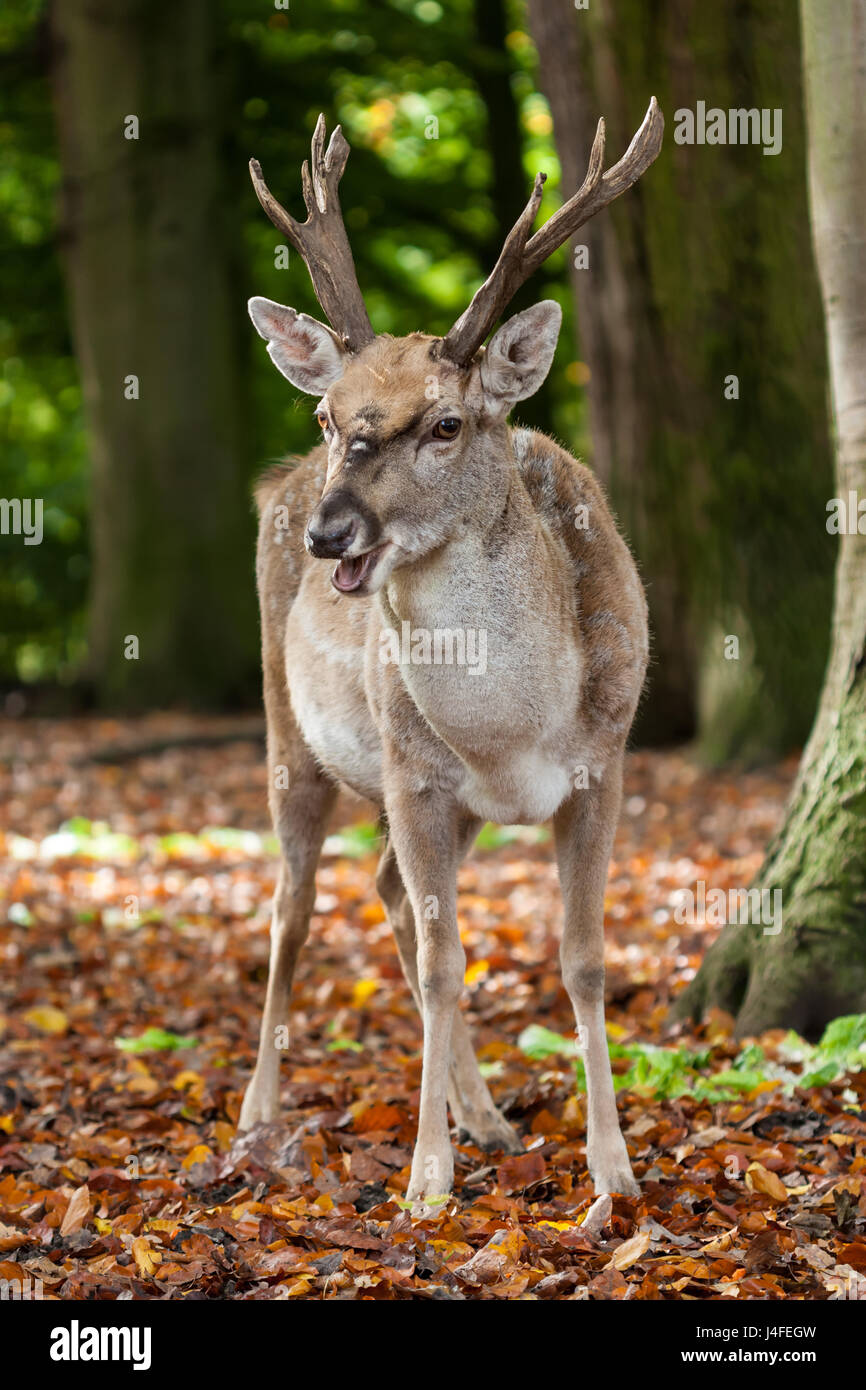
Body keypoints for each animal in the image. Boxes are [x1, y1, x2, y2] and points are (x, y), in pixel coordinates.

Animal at [240, 97, 667, 1212]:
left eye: (444, 422)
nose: (332, 534)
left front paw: (614, 1169)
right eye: (329, 413)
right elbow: (442, 965)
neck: (513, 733)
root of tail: (273, 484)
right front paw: (425, 1181)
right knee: (293, 907)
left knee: (387, 890)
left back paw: (487, 1116)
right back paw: (259, 1110)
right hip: (289, 736)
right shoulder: (413, 772)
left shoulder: (604, 764)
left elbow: (582, 959)